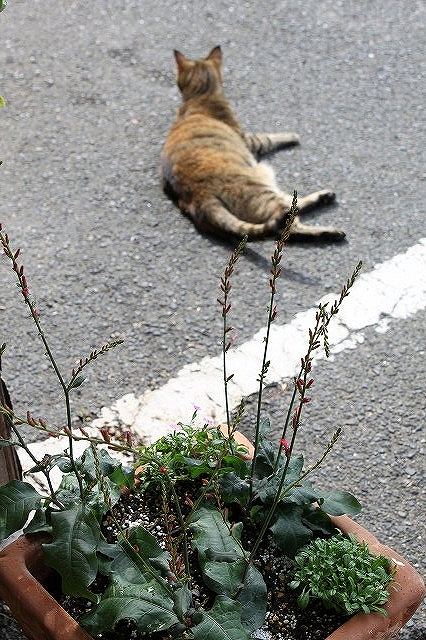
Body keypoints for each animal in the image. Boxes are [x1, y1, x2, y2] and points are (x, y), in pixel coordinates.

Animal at [161, 45, 344, 240]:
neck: (201, 95)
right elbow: (269, 137)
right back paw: (329, 228)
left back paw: (325, 197)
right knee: (287, 223)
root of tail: (200, 195)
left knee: (289, 210)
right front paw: (292, 135)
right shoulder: (249, 140)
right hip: (263, 184)